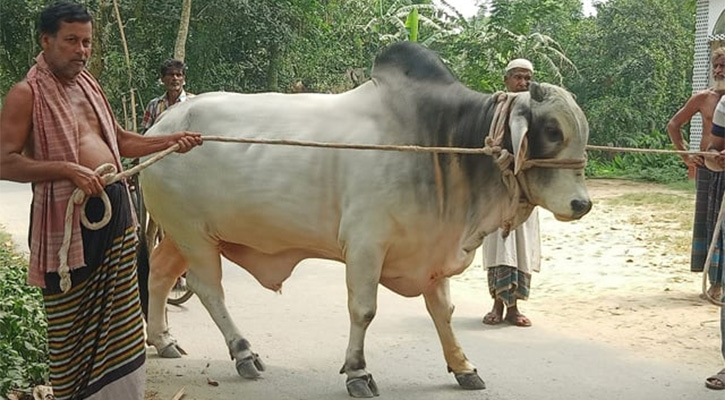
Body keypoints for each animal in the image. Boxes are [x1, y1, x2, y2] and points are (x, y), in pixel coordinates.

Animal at [139, 42, 592, 398]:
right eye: (552, 130)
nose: (582, 203)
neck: (440, 143)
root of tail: (161, 128)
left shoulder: (432, 248)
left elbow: (443, 312)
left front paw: (463, 367)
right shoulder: (365, 245)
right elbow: (364, 310)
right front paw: (357, 372)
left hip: (185, 234)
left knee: (160, 274)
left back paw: (163, 340)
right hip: (193, 234)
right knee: (209, 290)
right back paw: (243, 353)